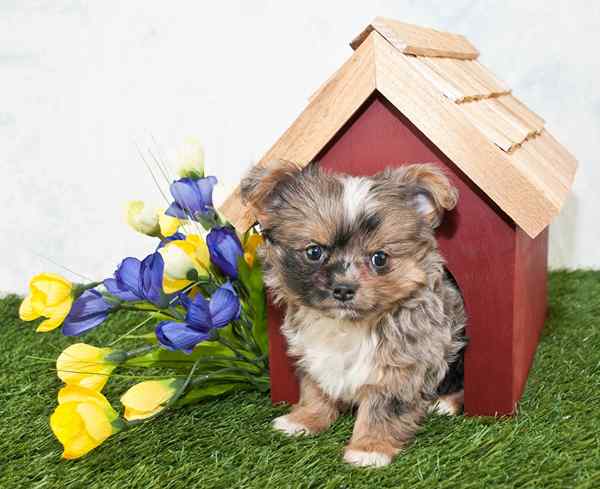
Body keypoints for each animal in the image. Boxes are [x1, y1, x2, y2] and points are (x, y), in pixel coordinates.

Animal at [241, 161, 466, 468]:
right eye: (314, 251)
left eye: (379, 258)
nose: (344, 289)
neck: (348, 325)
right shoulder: (312, 355)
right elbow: (314, 389)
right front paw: (304, 419)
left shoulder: (401, 367)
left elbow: (383, 408)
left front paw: (369, 449)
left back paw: (447, 403)